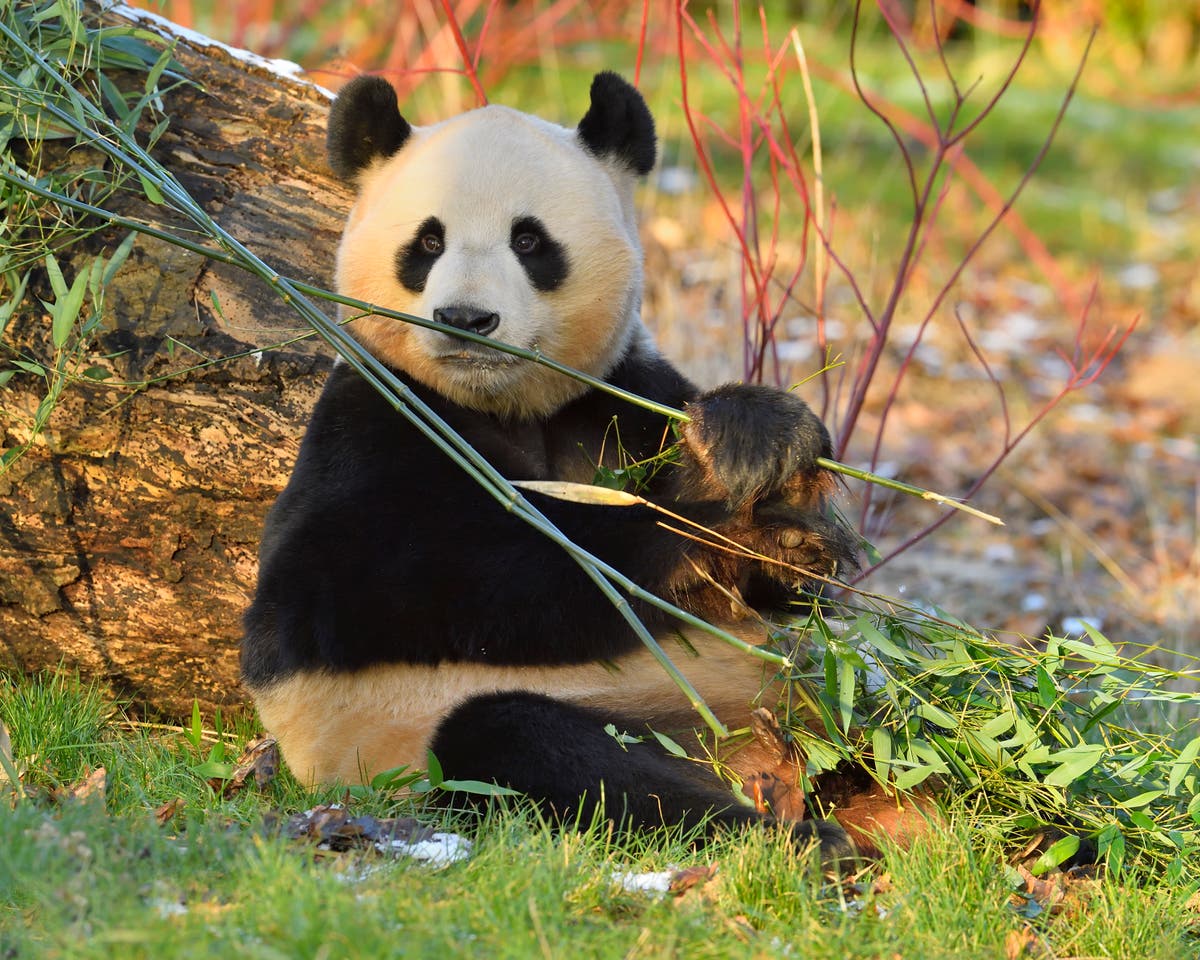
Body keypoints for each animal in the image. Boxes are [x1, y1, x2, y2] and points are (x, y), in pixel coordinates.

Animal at [241, 69, 916, 864]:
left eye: (529, 240)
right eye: (428, 242)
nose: (465, 320)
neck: (507, 404)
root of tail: (761, 762)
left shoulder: (622, 398)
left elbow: (787, 581)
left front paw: (763, 459)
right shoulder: (372, 419)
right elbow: (385, 583)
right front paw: (716, 527)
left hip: (830, 712)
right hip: (444, 740)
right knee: (546, 754)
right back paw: (801, 841)